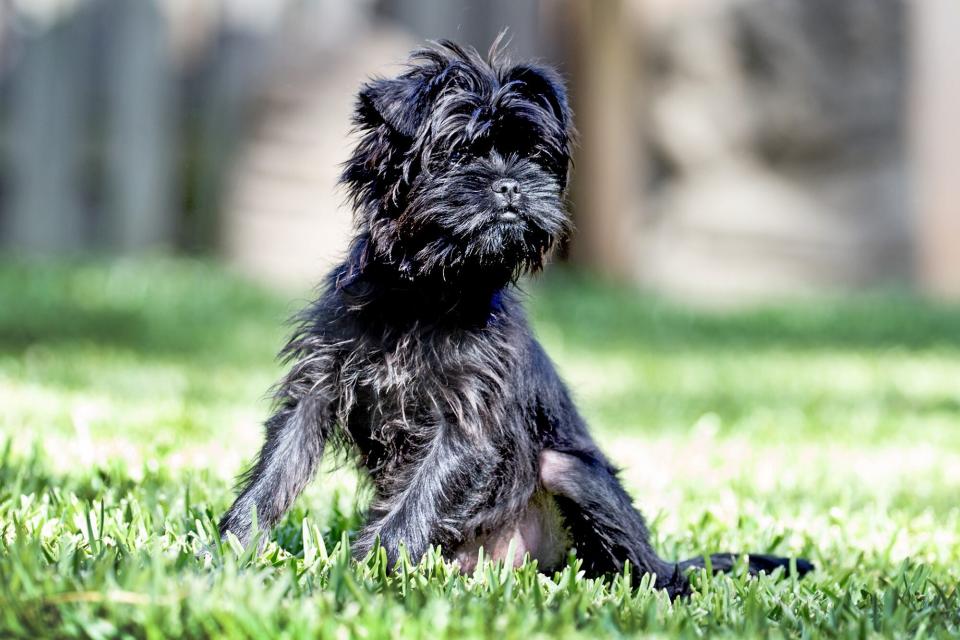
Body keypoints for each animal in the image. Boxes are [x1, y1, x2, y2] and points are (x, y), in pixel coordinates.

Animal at [221, 41, 812, 600]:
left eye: (534, 157)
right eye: (458, 153)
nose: (510, 184)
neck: (425, 294)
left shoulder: (464, 421)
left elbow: (414, 503)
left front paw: (369, 574)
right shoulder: (318, 388)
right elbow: (273, 477)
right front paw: (226, 551)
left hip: (571, 471)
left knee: (648, 568)